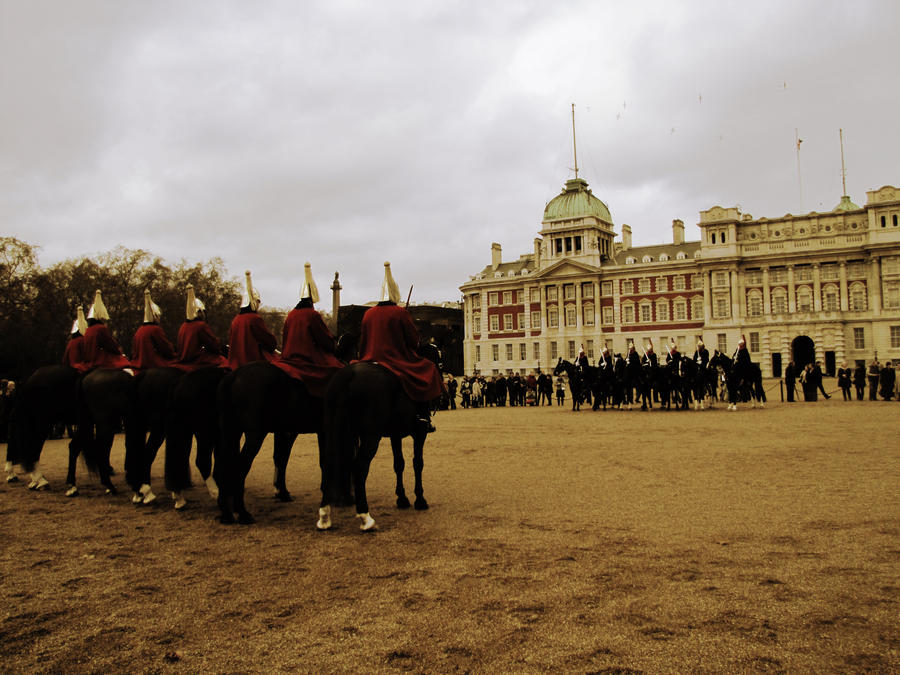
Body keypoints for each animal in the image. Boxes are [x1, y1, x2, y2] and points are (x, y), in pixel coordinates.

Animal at [318, 346, 442, 532]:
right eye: (439, 363)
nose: (443, 394)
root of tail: (348, 375)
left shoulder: (395, 435)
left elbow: (399, 464)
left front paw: (402, 498)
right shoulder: (420, 433)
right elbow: (417, 463)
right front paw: (420, 500)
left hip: (335, 431)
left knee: (329, 464)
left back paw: (324, 516)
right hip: (370, 437)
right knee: (359, 468)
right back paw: (365, 517)